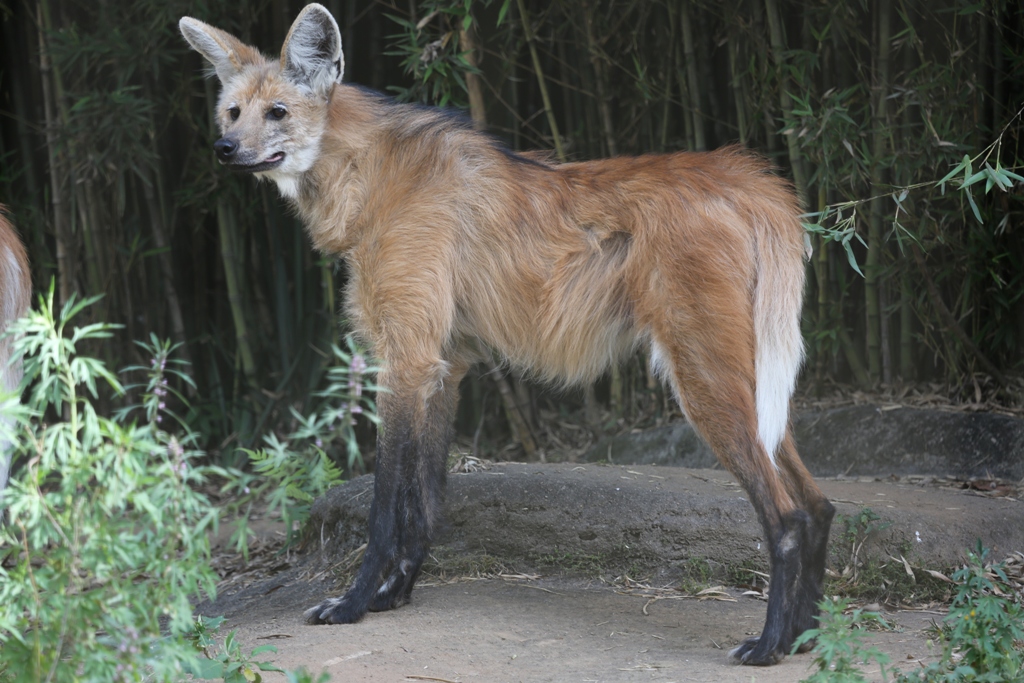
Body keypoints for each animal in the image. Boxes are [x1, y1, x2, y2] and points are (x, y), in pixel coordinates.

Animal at [180, 3, 835, 667]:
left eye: (278, 112)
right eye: (232, 112)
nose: (224, 148)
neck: (367, 177)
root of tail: (752, 180)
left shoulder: (407, 361)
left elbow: (387, 507)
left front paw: (353, 605)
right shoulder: (444, 365)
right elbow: (425, 502)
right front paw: (394, 596)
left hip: (702, 379)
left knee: (786, 518)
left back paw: (767, 646)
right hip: (748, 378)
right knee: (818, 505)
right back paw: (806, 638)